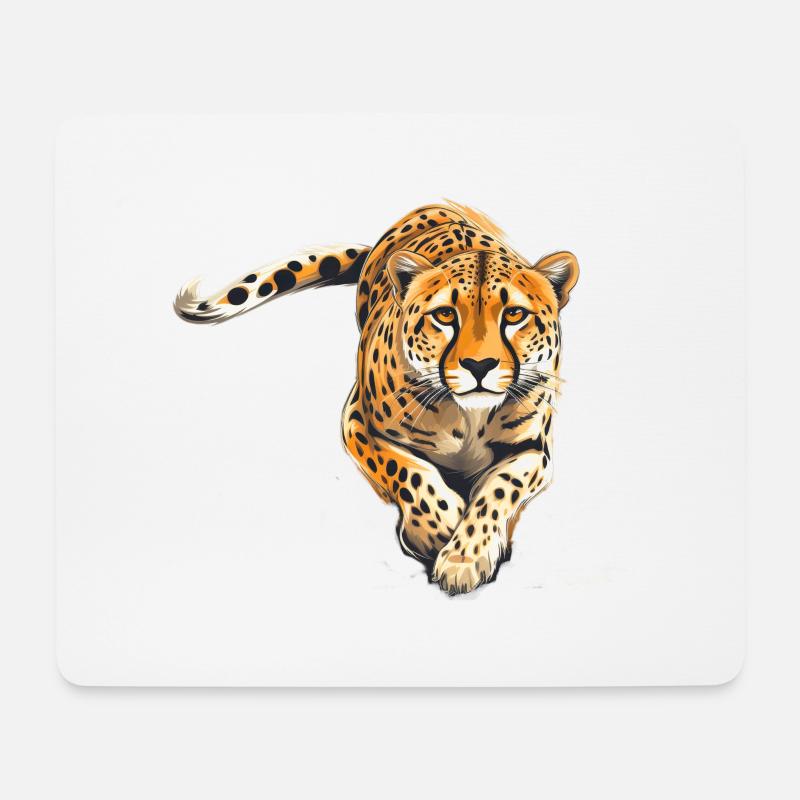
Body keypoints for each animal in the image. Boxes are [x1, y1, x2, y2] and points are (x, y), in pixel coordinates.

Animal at [174, 201, 579, 594]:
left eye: (515, 314)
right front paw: (438, 528)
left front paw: (464, 559)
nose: (479, 365)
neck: (468, 417)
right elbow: (406, 469)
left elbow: (498, 490)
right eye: (445, 314)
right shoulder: (357, 421)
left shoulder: (533, 450)